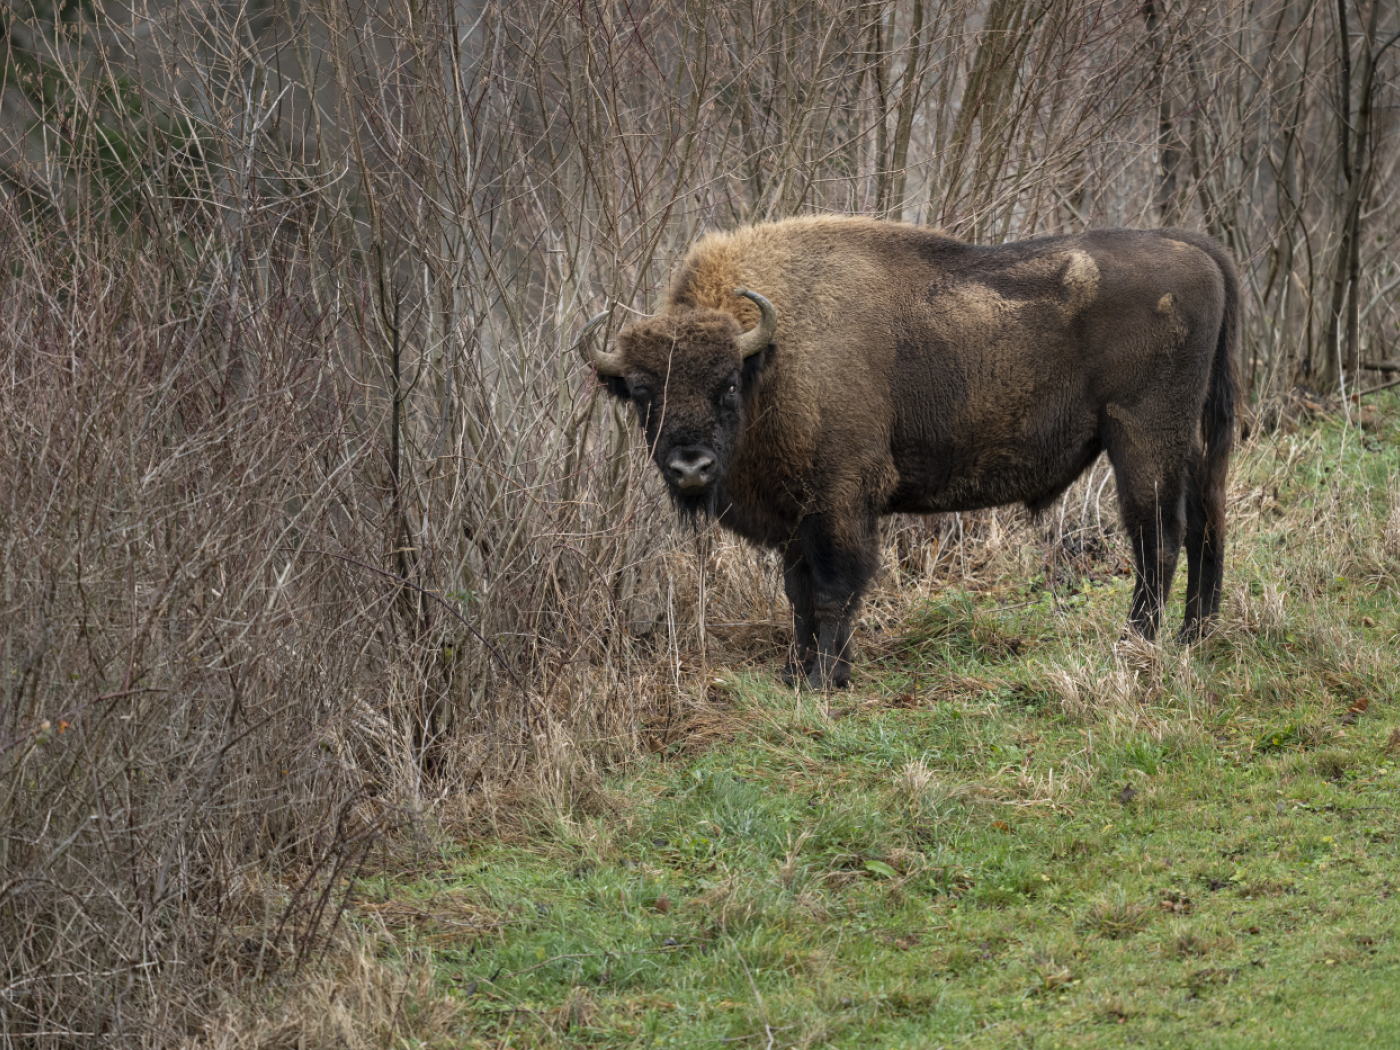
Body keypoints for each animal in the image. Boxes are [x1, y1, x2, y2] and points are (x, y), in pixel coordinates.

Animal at [581, 216, 1238, 689]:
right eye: (641, 392)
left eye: (727, 386)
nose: (690, 466)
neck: (774, 357)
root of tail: (1191, 246)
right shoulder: (797, 518)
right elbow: (798, 595)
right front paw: (797, 674)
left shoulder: (839, 503)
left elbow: (833, 590)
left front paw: (823, 679)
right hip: (1191, 440)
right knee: (1206, 522)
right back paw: (1195, 636)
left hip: (1142, 438)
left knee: (1157, 536)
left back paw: (1138, 642)